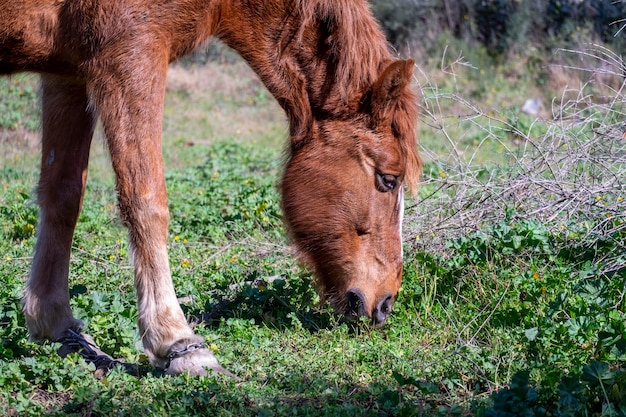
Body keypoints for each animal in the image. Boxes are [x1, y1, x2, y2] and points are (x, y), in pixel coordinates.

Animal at [1, 0, 420, 376]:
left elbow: (62, 196)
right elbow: (146, 200)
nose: (385, 303)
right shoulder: (128, 55)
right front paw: (179, 342)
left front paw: (56, 325)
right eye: (389, 179)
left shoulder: (66, 72)